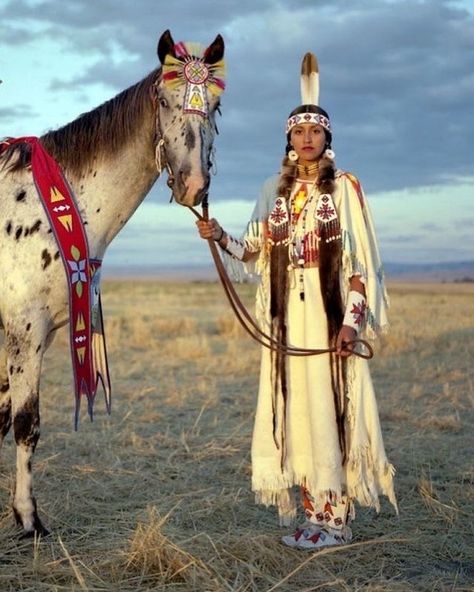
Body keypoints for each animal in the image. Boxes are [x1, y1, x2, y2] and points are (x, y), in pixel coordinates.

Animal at [0, 28, 226, 536]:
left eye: (217, 106)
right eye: (162, 99)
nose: (193, 185)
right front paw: (29, 519)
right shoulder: (24, 331)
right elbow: (25, 423)